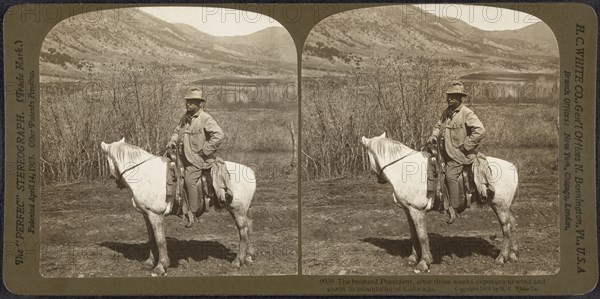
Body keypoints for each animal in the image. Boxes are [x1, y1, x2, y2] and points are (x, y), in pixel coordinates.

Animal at [101, 138, 255, 276]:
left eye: (107, 160)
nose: (118, 183)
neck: (144, 174)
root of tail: (250, 172)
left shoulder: (156, 214)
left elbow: (160, 240)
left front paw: (161, 267)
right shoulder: (146, 214)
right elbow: (152, 239)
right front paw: (149, 262)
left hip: (238, 210)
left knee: (242, 231)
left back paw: (238, 261)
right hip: (241, 211)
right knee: (248, 227)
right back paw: (248, 258)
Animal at [360, 134, 520, 274]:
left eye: (367, 155)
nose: (380, 179)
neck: (403, 170)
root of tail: (512, 166)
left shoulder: (417, 210)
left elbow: (422, 237)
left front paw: (424, 263)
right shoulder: (408, 210)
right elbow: (414, 235)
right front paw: (412, 258)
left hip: (500, 206)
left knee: (506, 228)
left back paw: (501, 258)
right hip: (505, 207)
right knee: (513, 223)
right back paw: (513, 254)